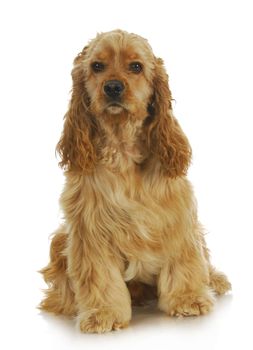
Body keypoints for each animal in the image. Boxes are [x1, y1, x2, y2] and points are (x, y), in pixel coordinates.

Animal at [39, 28, 231, 332]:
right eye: (97, 66)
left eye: (136, 67)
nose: (113, 87)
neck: (123, 149)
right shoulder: (90, 229)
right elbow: (99, 276)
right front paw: (103, 313)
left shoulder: (176, 216)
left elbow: (184, 260)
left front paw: (187, 298)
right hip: (61, 238)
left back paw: (215, 280)